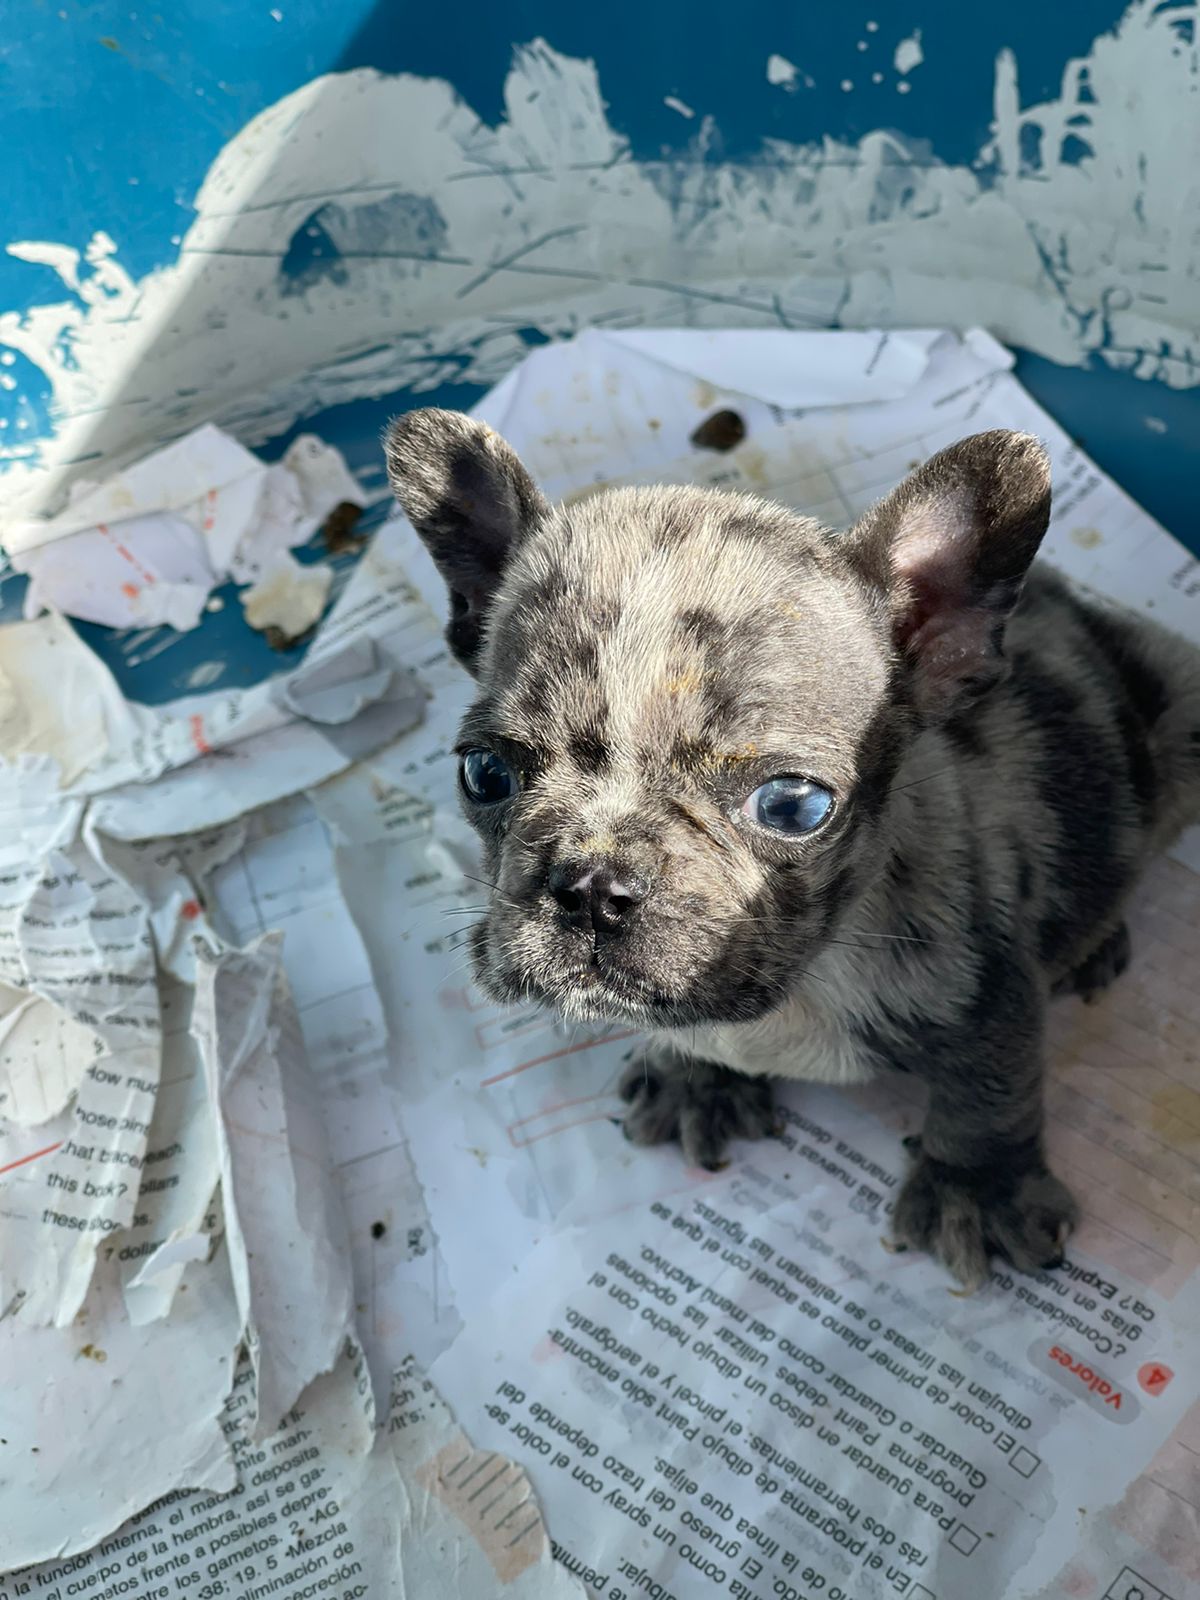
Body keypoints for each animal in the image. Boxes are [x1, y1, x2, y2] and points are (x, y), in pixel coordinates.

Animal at [385, 409, 1200, 1286]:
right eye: (484, 772)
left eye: (794, 805)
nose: (594, 886)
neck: (801, 977)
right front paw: (694, 1079)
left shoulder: (989, 987)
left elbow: (991, 1088)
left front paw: (977, 1191)